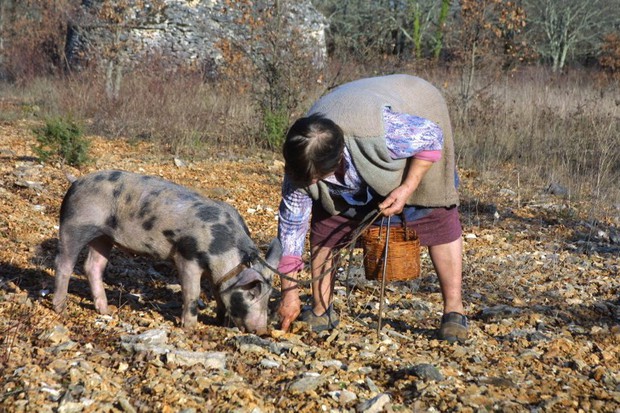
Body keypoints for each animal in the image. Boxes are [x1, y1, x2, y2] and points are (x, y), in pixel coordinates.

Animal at [52, 169, 280, 334]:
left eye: (269, 296)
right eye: (251, 293)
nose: (262, 331)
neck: (223, 251)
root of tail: (76, 181)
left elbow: (217, 293)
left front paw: (219, 321)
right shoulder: (187, 256)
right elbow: (192, 293)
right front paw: (189, 328)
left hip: (103, 237)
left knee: (93, 266)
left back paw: (106, 310)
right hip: (75, 224)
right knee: (63, 263)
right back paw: (60, 309)